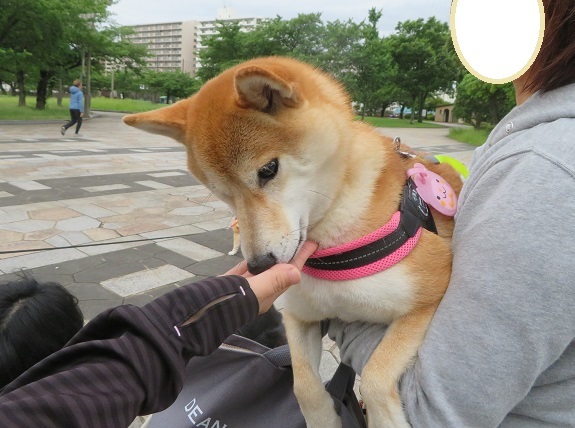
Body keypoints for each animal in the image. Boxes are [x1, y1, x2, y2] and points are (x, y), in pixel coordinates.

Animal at [125, 56, 464, 428]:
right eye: (221, 193)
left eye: (268, 170)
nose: (260, 266)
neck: (330, 244)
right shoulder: (300, 316)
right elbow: (302, 384)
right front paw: (324, 418)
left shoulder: (429, 296)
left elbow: (375, 375)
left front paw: (386, 420)